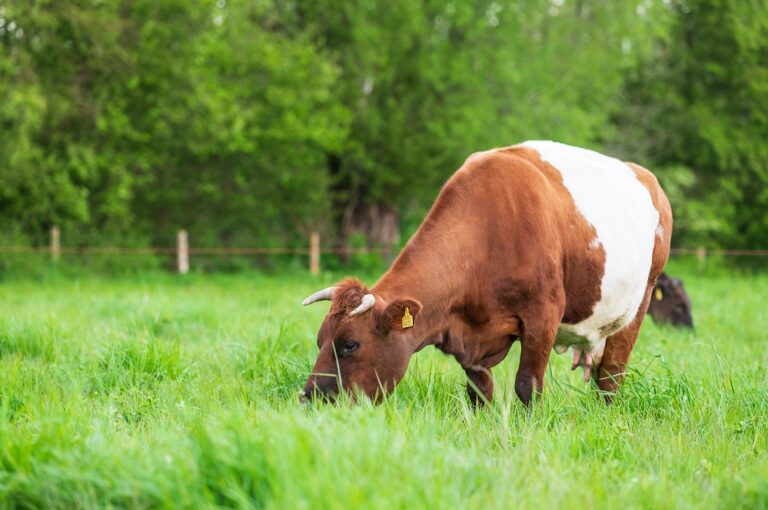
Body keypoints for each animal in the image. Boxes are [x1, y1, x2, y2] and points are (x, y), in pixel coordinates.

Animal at [300, 141, 672, 404]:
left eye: (350, 344)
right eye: (319, 340)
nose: (311, 398)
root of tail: (647, 178)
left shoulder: (543, 317)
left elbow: (527, 386)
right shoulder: (470, 339)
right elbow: (479, 392)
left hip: (640, 303)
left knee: (610, 377)